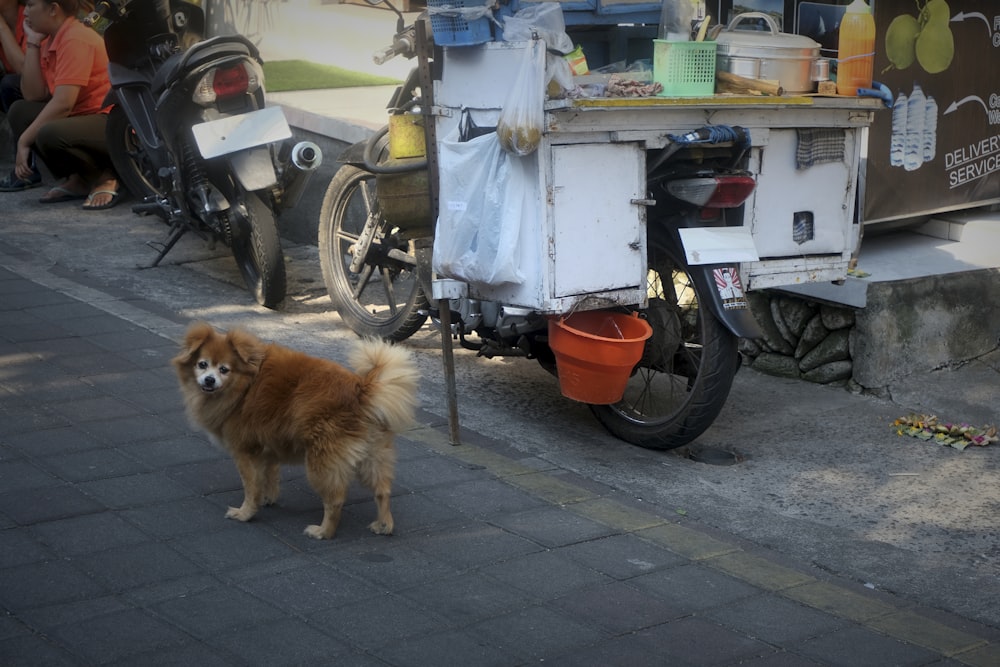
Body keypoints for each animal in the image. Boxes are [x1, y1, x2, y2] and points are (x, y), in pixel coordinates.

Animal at [172, 322, 418, 536]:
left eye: (224, 369)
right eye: (202, 364)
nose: (209, 380)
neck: (244, 387)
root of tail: (362, 390)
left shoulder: (244, 452)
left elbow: (251, 486)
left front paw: (245, 513)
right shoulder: (266, 447)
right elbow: (269, 476)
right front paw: (268, 498)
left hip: (320, 463)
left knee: (335, 500)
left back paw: (323, 532)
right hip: (374, 455)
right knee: (382, 491)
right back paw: (384, 525)